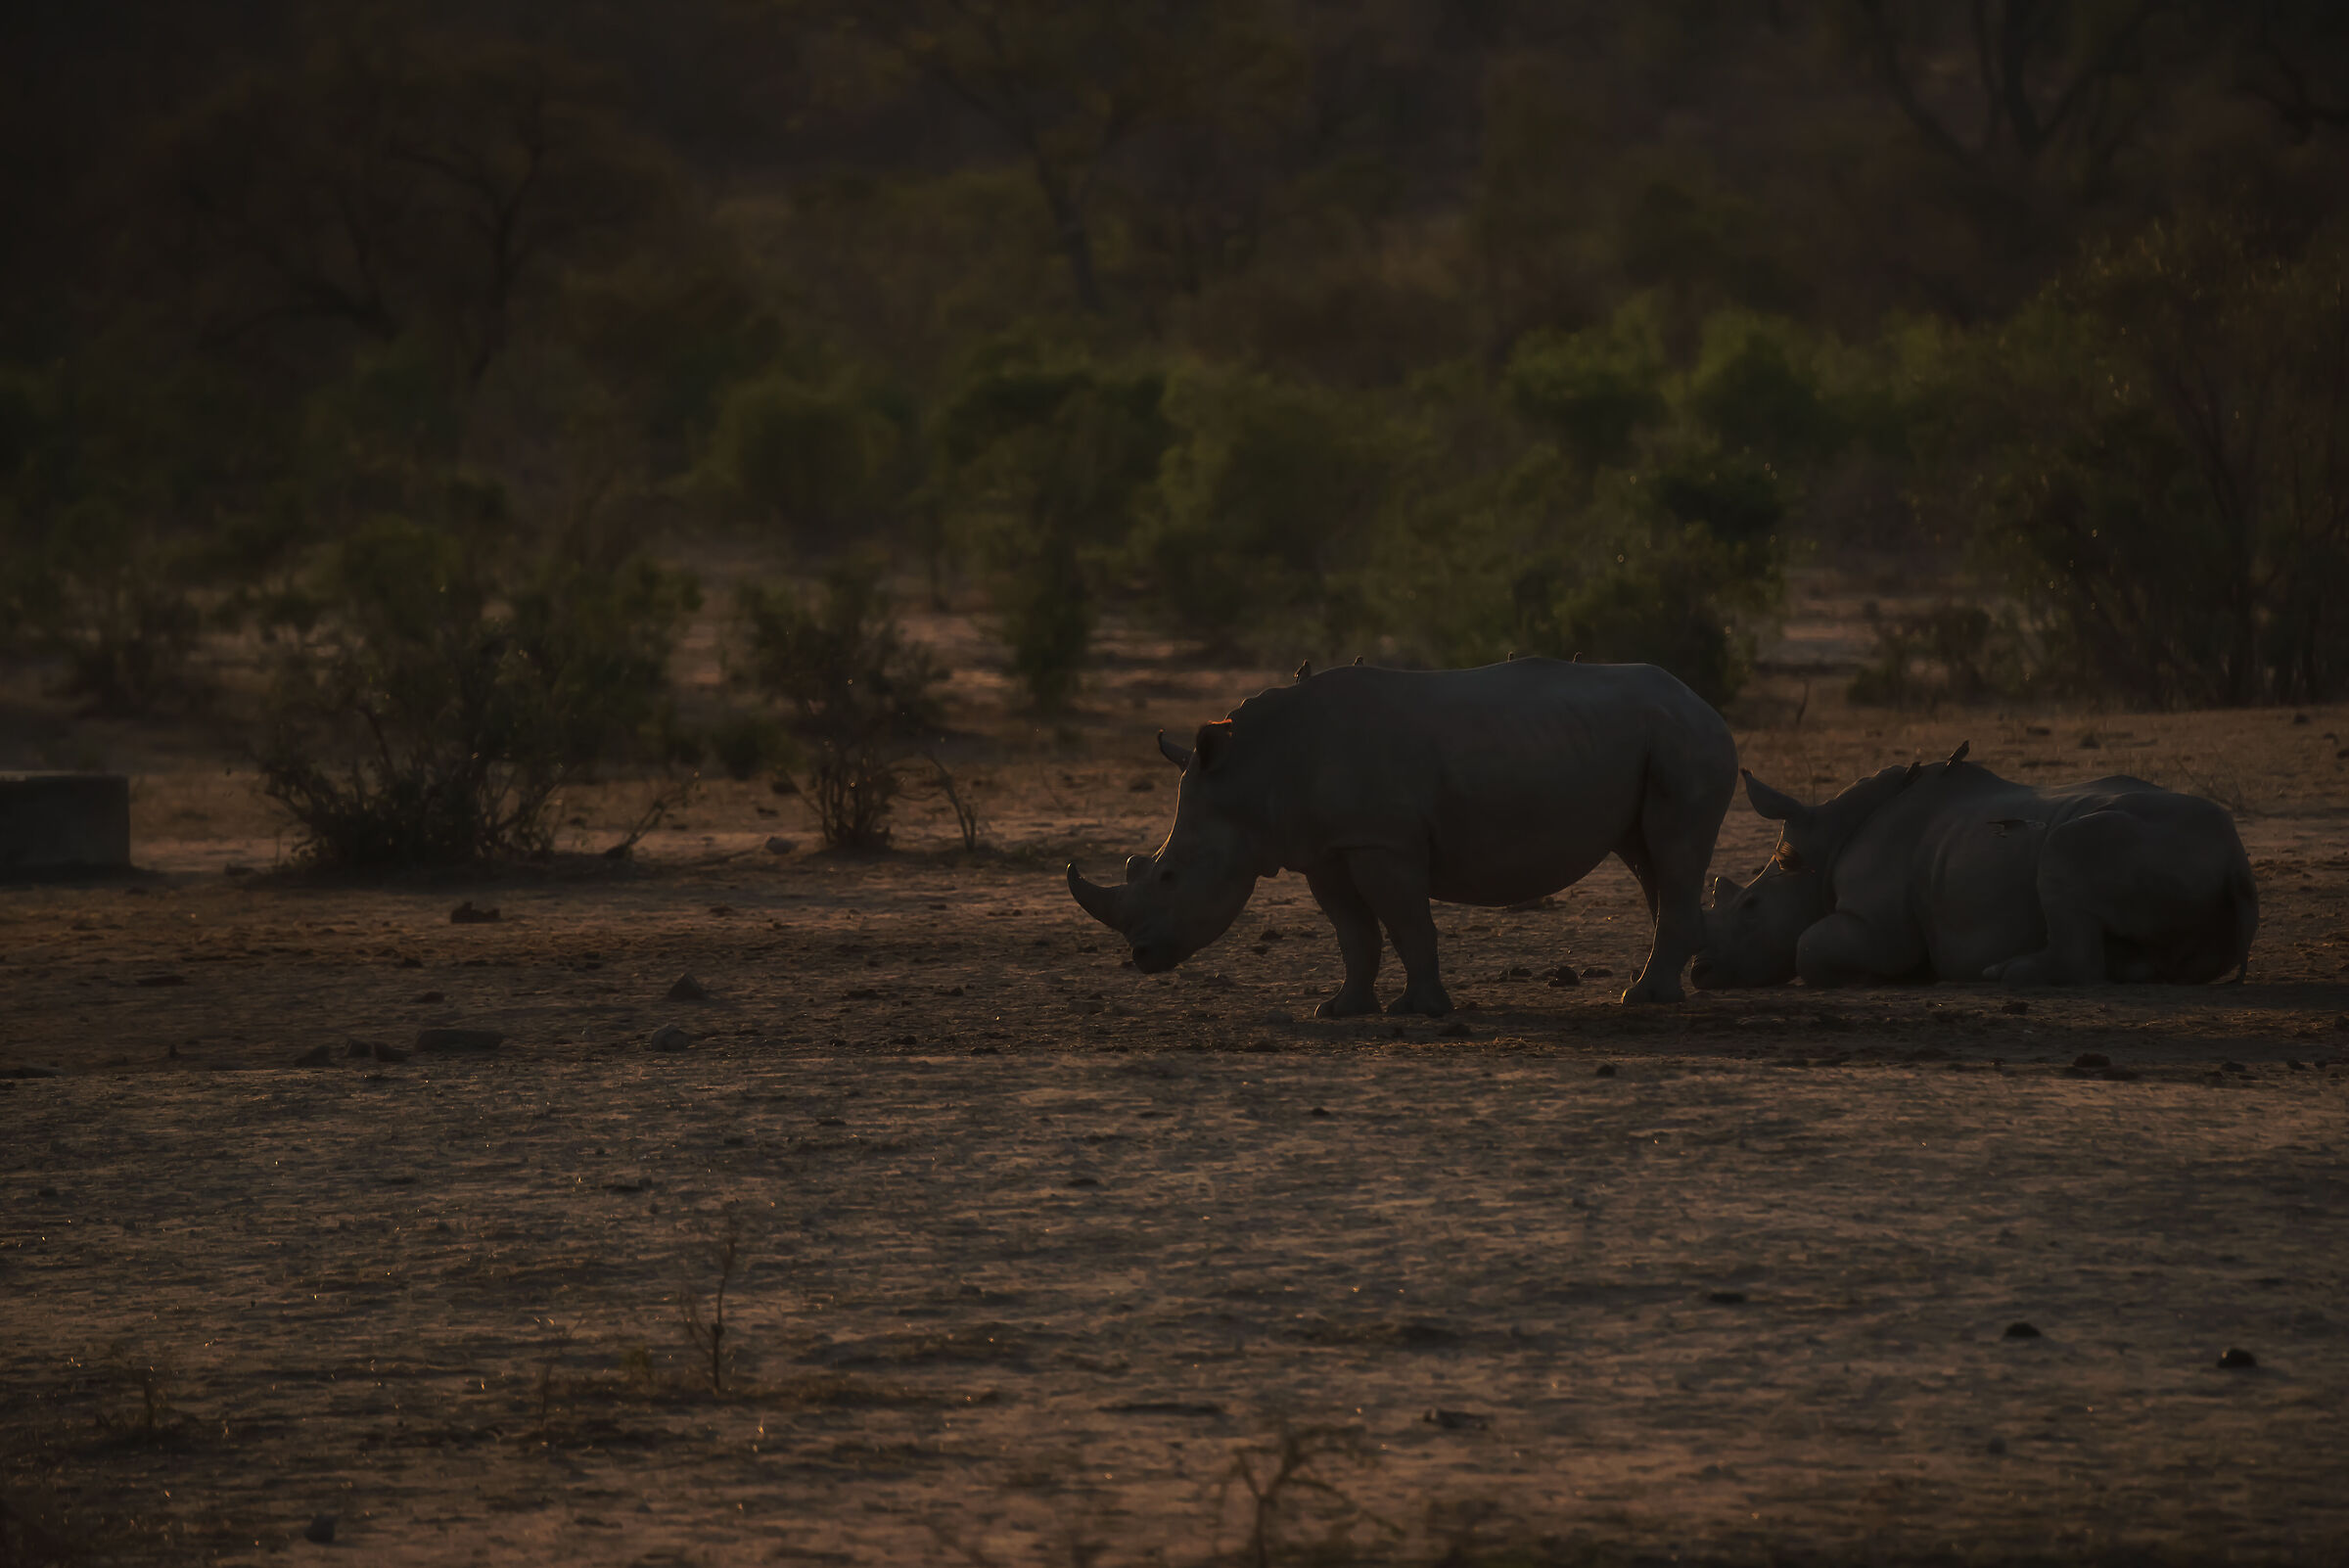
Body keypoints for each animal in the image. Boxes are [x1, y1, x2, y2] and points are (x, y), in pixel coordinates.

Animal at [1066, 659, 1740, 1012]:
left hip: (1686, 741)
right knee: (1649, 858)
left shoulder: (1380, 841)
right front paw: (1341, 1009)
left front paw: (1419, 1010)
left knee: (1672, 853)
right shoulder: (1327, 848)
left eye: (1170, 874)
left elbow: (1408, 922)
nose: (1140, 957)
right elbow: (1353, 931)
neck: (1251, 774)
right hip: (1649, 739)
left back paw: (1643, 998)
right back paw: (1655, 989)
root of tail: (1706, 705)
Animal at [1692, 745, 2257, 989]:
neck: (1826, 841)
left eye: (1750, 906)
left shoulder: (1880, 925)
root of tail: (2235, 860)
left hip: (2135, 841)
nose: (1700, 972)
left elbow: (1808, 946)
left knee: (2066, 848)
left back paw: (2004, 975)